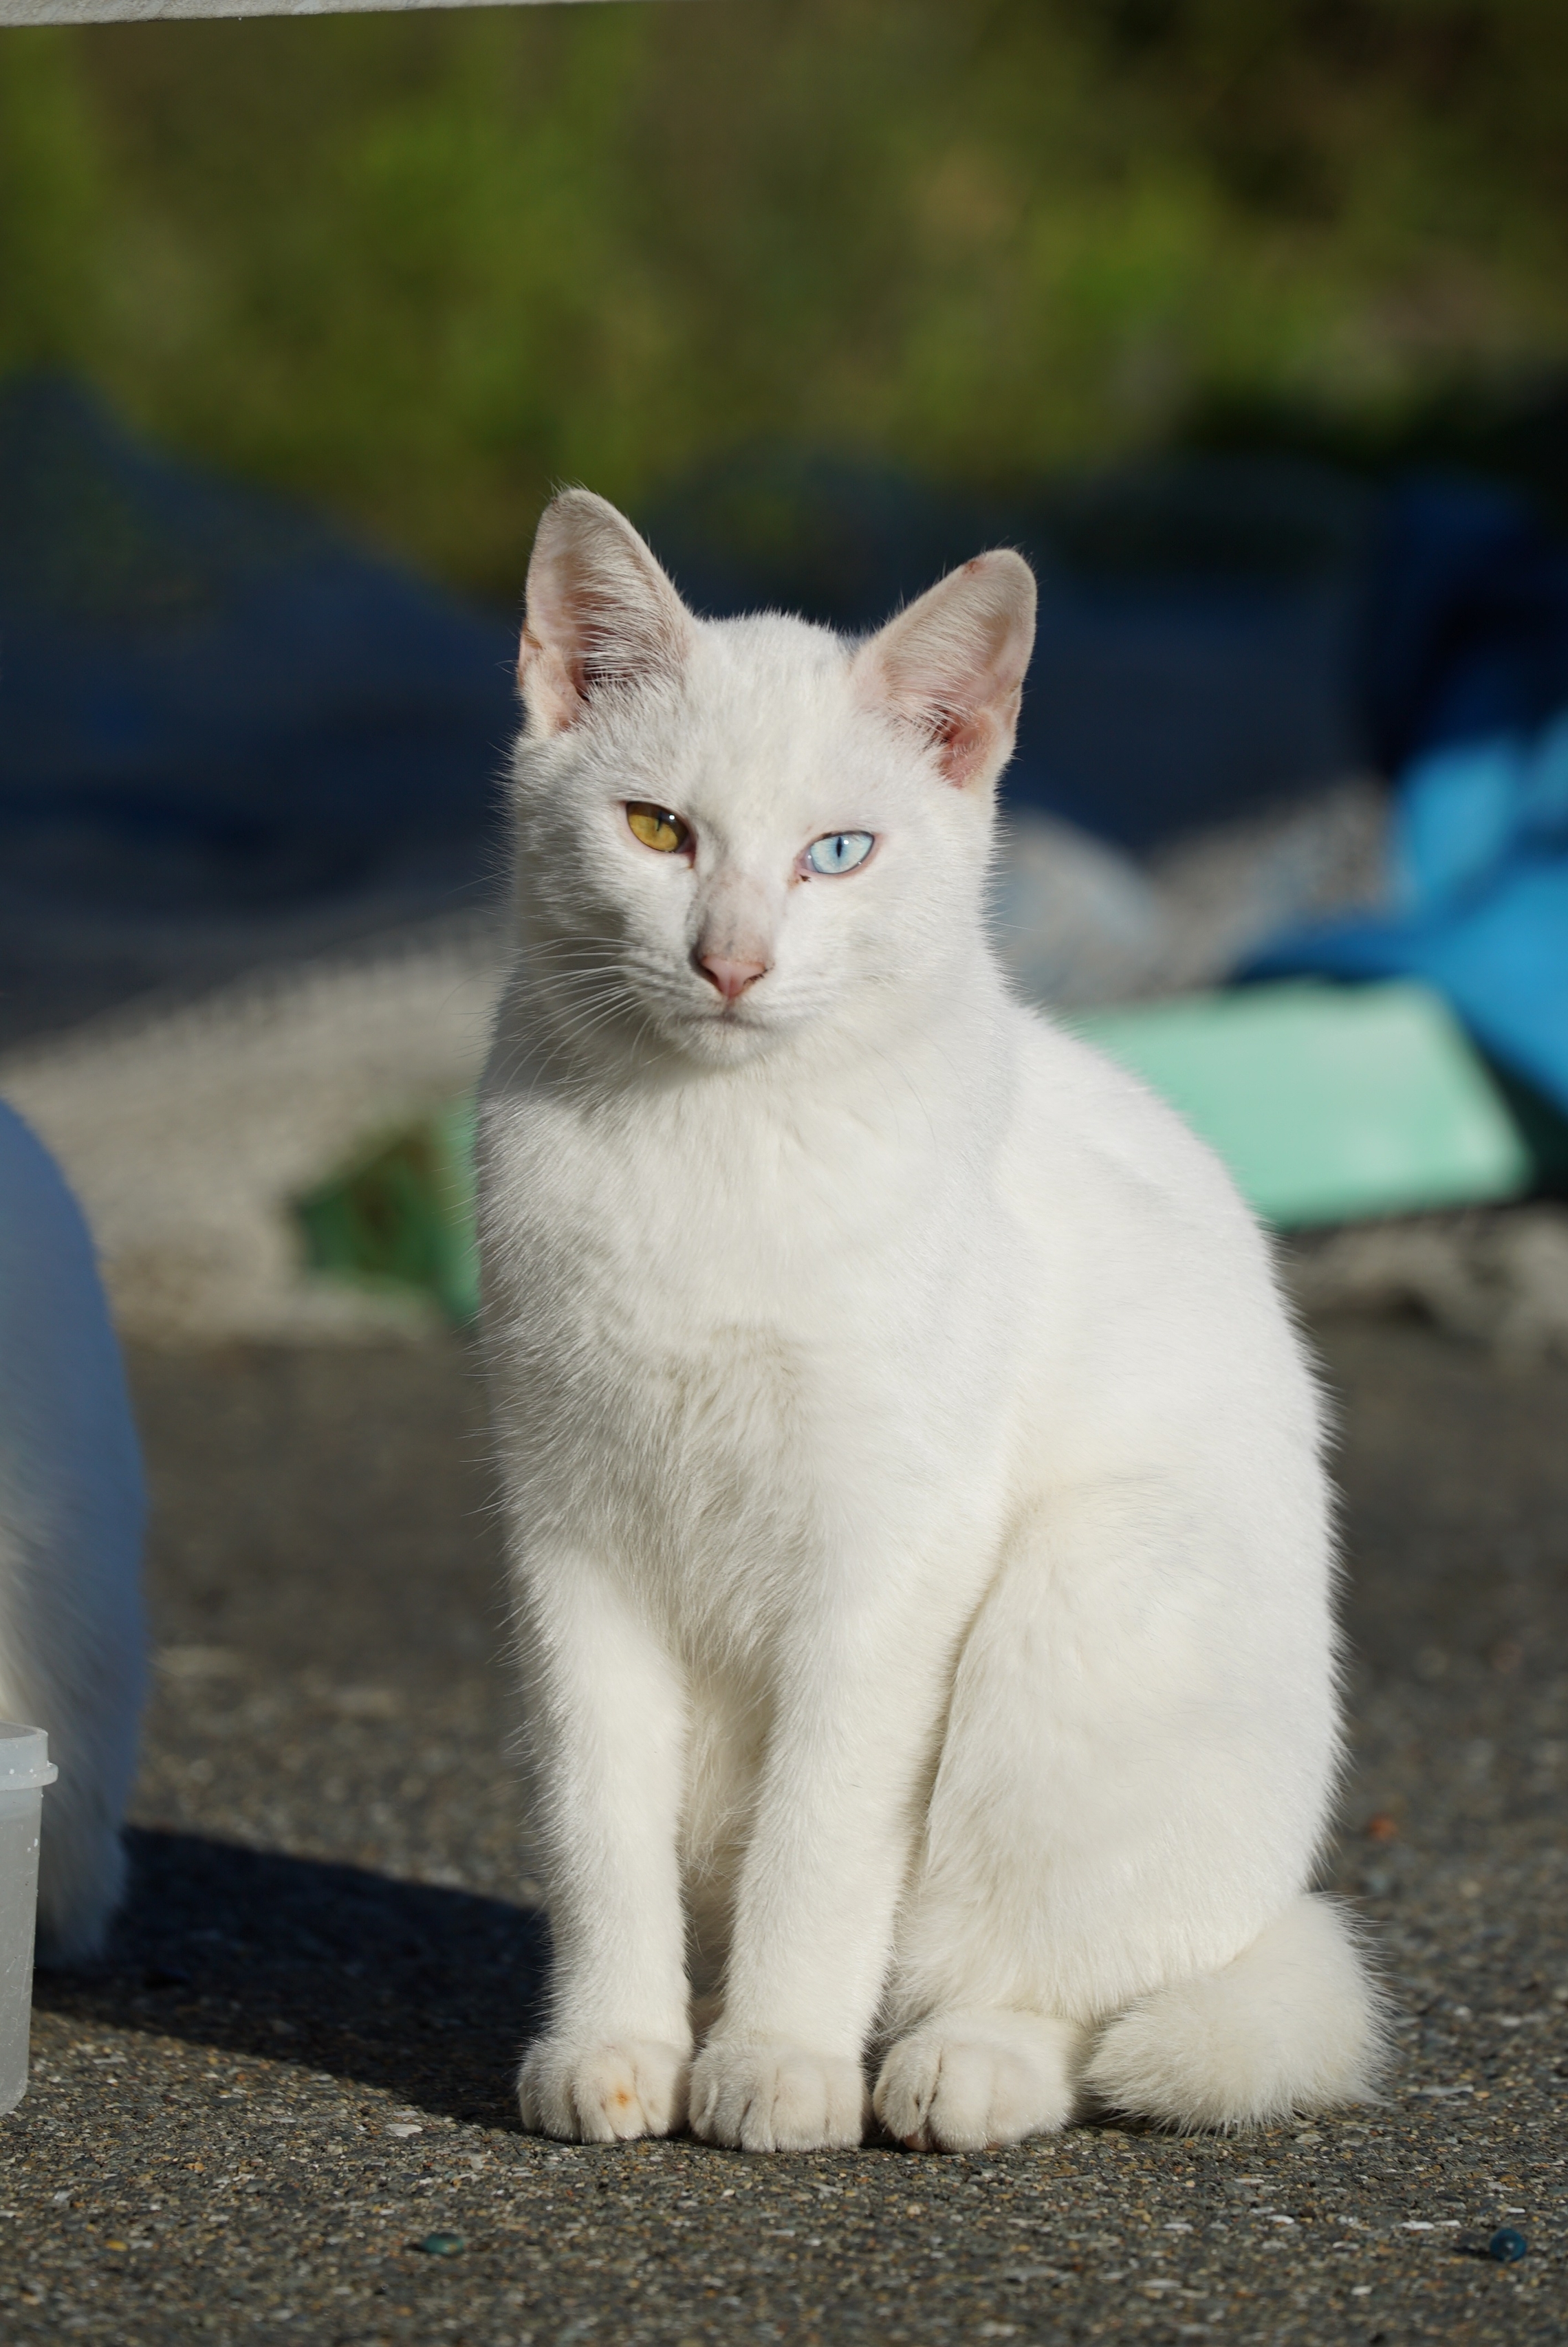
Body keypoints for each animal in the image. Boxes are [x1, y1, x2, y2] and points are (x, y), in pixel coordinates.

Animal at [481, 490, 1380, 2150]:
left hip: (1086, 1597)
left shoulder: (889, 1548)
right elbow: (595, 1819)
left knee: (1070, 1986)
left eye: (839, 853)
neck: (714, 1141)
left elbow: (824, 1834)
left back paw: (963, 2062)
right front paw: (614, 2043)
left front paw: (777, 2056)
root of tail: (1273, 1903)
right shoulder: (570, 1533)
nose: (731, 957)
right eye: (657, 831)